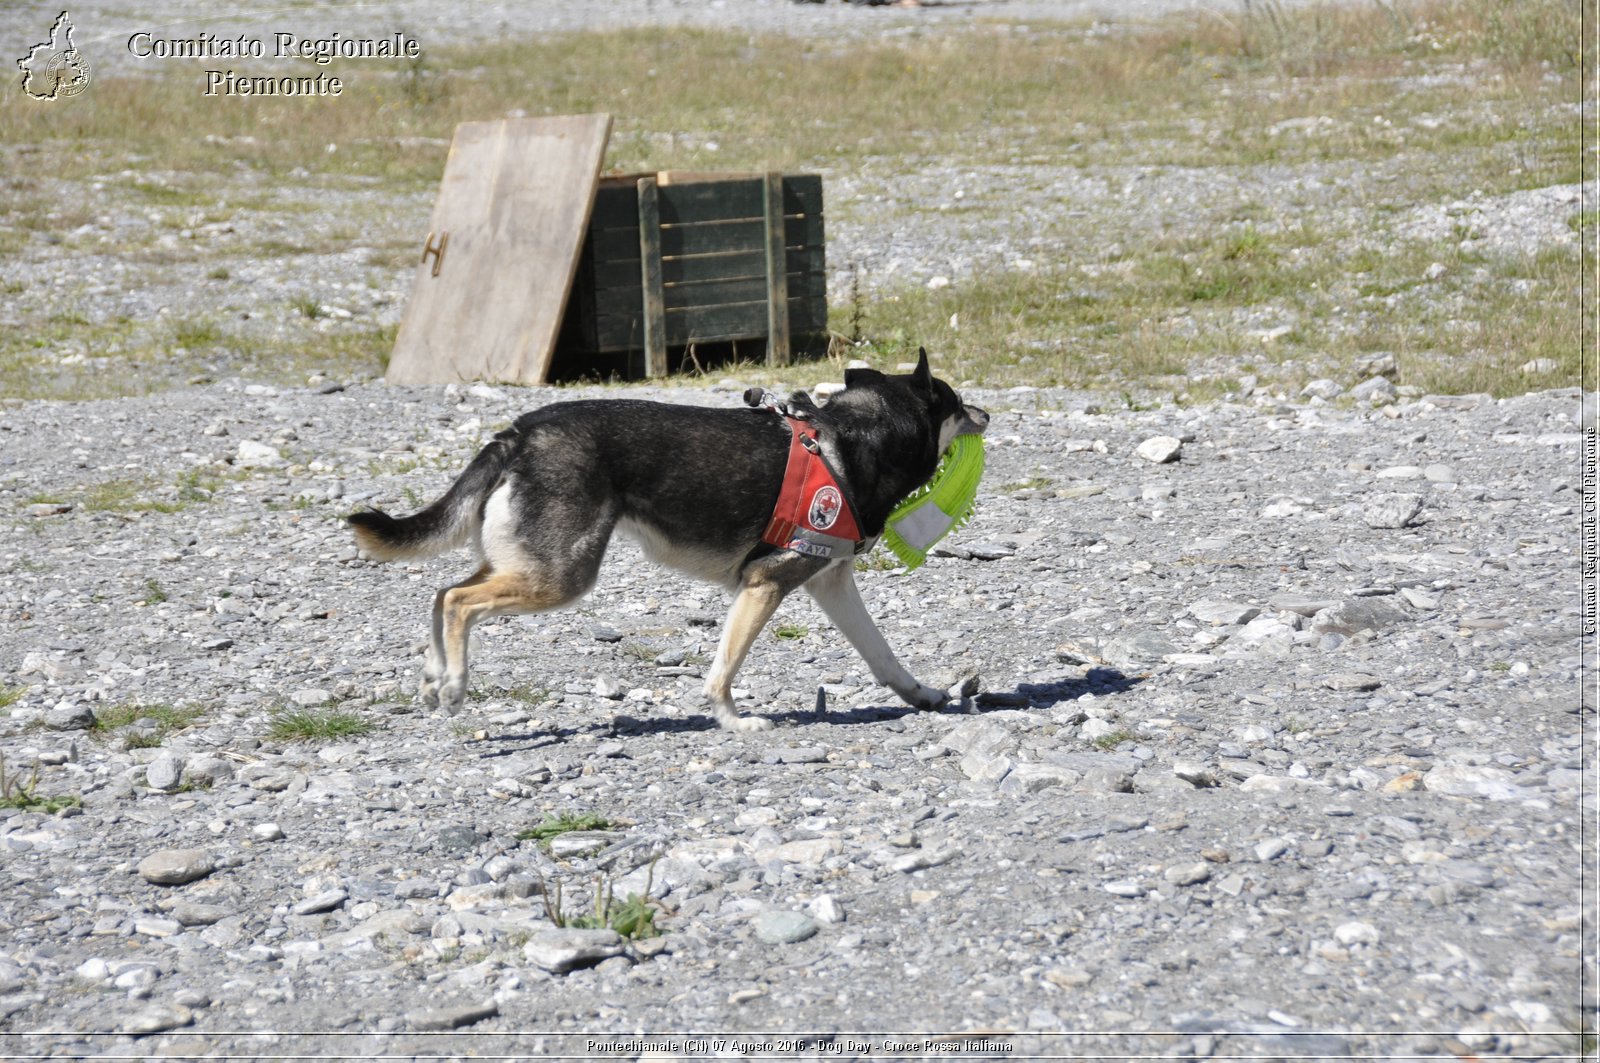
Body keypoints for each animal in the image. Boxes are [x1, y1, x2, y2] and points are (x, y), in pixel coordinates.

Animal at [347, 348, 985, 730]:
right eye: (955, 401)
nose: (986, 414)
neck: (851, 440)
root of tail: (519, 432)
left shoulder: (829, 584)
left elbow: (882, 653)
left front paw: (922, 695)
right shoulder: (764, 584)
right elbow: (723, 670)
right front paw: (733, 721)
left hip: (528, 565)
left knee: (441, 595)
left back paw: (434, 679)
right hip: (561, 577)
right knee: (458, 600)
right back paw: (454, 686)